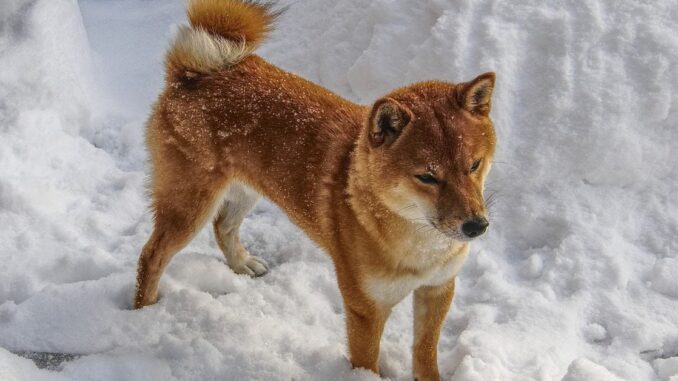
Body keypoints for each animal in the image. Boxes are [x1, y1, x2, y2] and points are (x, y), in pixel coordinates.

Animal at [135, 1, 496, 378]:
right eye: (427, 176)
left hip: (245, 189)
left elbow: (424, 354)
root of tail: (194, 71)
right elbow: (367, 363)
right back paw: (145, 310)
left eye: (474, 165)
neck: (419, 242)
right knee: (152, 255)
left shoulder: (437, 289)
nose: (476, 226)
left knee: (224, 227)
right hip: (190, 204)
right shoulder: (365, 307)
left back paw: (242, 264)